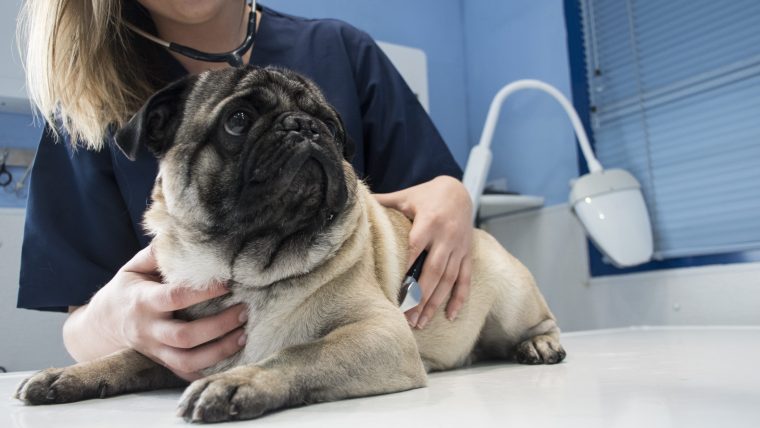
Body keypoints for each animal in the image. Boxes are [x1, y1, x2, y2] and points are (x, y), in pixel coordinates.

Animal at [16, 66, 564, 422]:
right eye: (238, 120)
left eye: (334, 129)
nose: (306, 127)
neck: (246, 267)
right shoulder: (172, 350)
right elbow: (129, 356)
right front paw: (68, 376)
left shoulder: (380, 333)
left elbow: (301, 354)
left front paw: (240, 382)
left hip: (511, 294)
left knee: (537, 321)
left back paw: (539, 344)